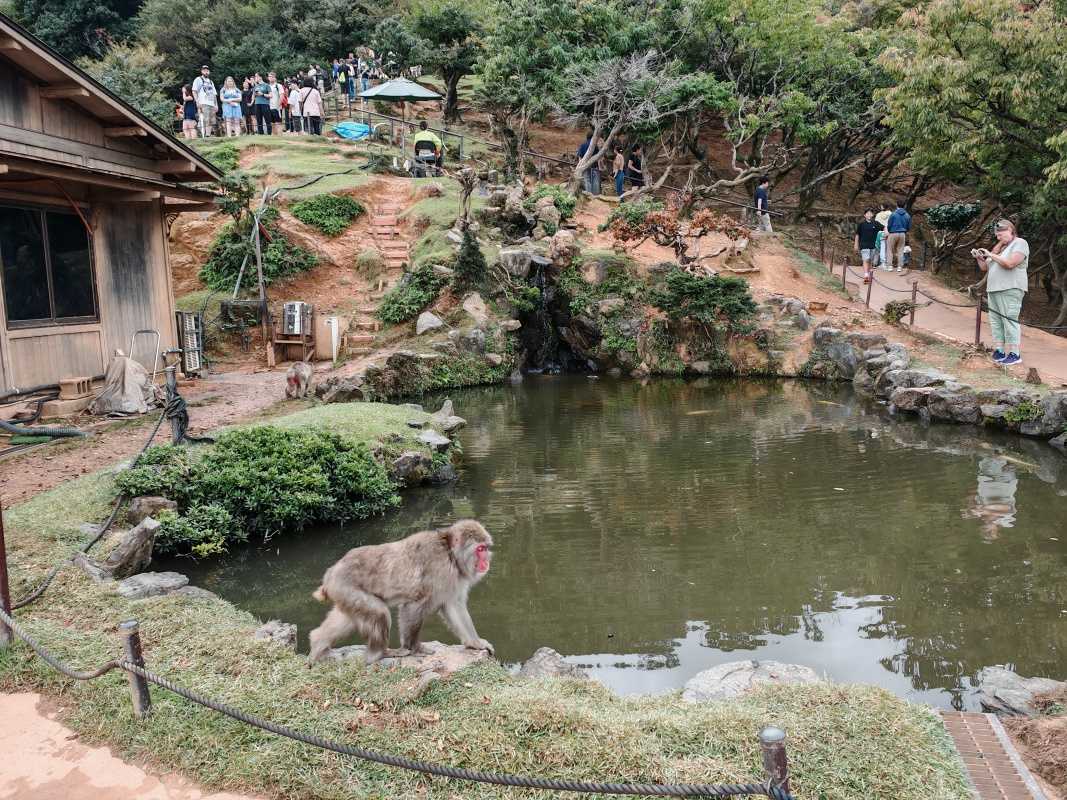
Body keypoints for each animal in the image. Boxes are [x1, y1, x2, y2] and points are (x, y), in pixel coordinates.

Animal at [307, 519, 494, 665]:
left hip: (342, 592)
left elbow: (453, 606)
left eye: (485, 548)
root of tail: (331, 572)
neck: (450, 554)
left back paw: (318, 645)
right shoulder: (438, 571)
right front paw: (415, 648)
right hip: (346, 587)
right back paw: (380, 654)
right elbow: (414, 606)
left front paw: (475, 643)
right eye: (479, 549)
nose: (486, 560)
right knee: (379, 613)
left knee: (347, 618)